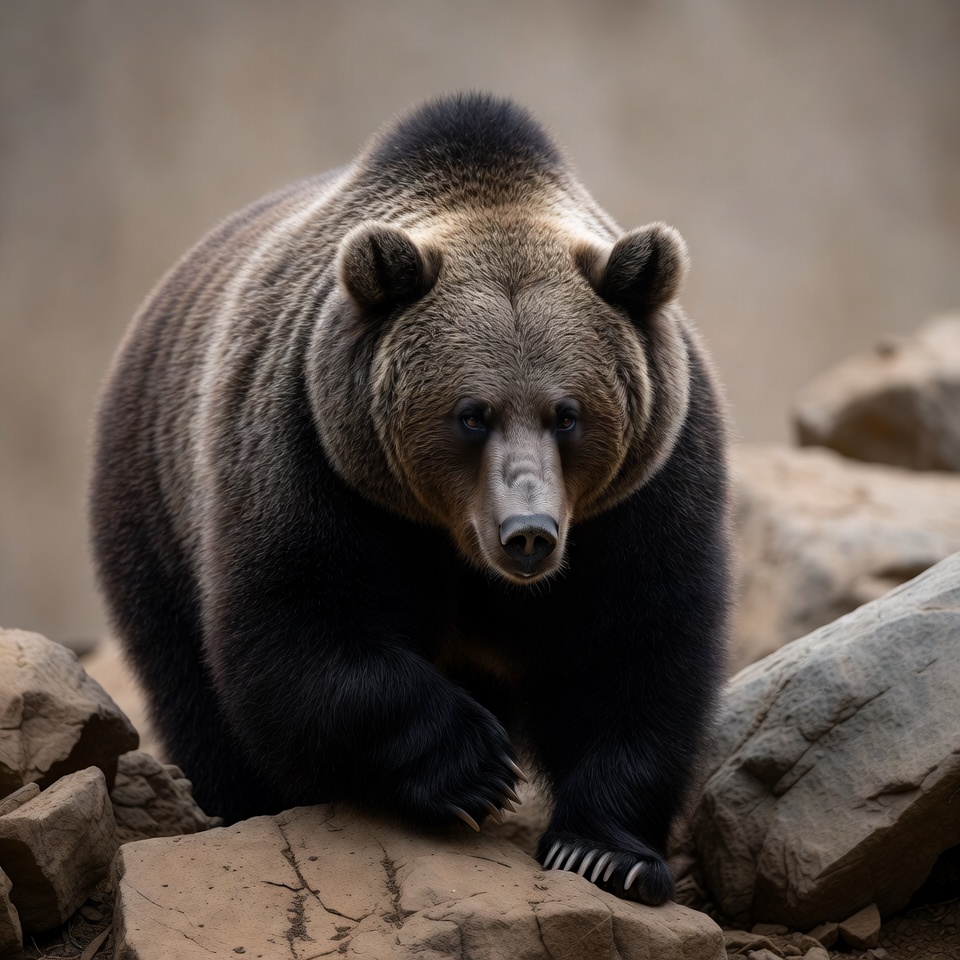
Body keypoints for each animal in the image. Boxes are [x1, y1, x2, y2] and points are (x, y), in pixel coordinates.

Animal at [89, 93, 730, 906]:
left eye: (569, 413)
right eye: (471, 414)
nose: (528, 532)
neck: (455, 540)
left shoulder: (647, 490)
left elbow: (636, 647)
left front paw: (605, 853)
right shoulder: (311, 452)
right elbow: (304, 623)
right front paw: (476, 768)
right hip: (152, 502)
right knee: (189, 682)